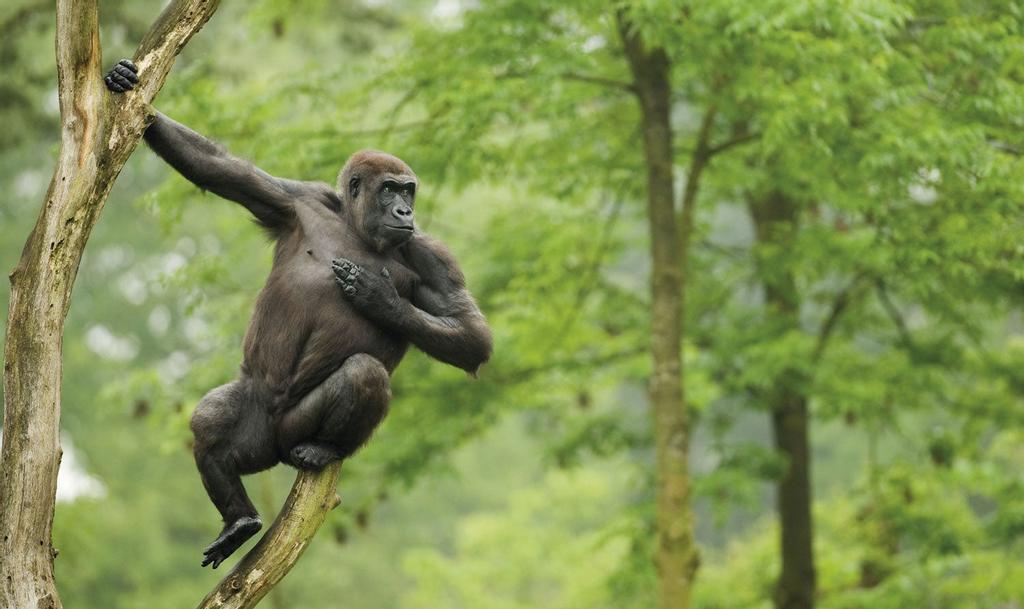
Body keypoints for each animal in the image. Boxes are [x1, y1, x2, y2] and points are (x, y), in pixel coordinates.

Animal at [105, 60, 493, 568]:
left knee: (363, 374)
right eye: (390, 189)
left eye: (408, 192)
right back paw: (239, 518)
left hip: (291, 432)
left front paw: (380, 299)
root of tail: (273, 447)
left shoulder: (432, 254)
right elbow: (221, 169)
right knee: (212, 419)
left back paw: (322, 449)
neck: (356, 227)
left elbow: (471, 334)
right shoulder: (296, 198)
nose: (405, 211)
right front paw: (130, 90)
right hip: (254, 422)